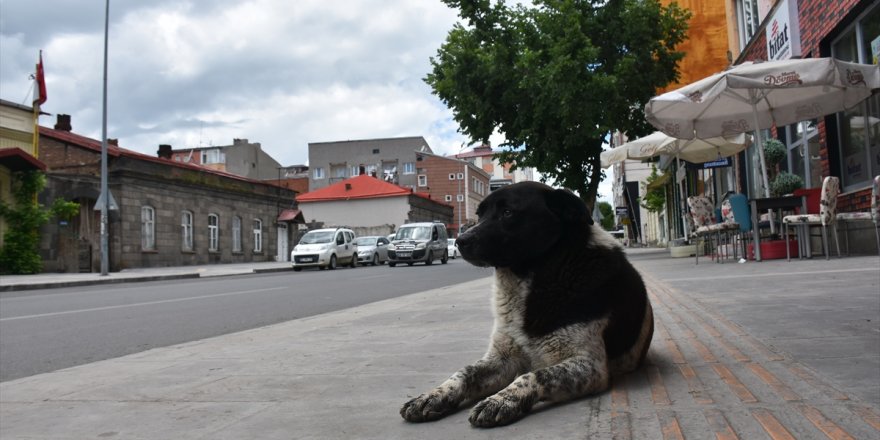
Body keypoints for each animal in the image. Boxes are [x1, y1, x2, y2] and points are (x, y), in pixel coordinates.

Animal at [400, 180, 652, 428]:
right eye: (480, 215)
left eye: (507, 212)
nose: (461, 241)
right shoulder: (503, 357)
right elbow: (465, 372)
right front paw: (433, 395)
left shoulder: (590, 365)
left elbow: (534, 375)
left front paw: (501, 400)